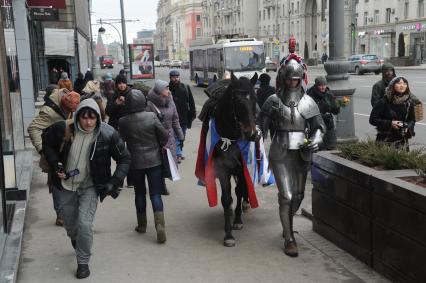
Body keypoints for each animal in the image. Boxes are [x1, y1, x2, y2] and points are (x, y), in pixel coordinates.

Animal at [209, 72, 258, 246]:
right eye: (237, 100)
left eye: (255, 99)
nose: (252, 134)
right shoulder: (223, 170)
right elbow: (226, 198)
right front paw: (228, 233)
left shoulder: (241, 168)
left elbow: (239, 191)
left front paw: (236, 221)